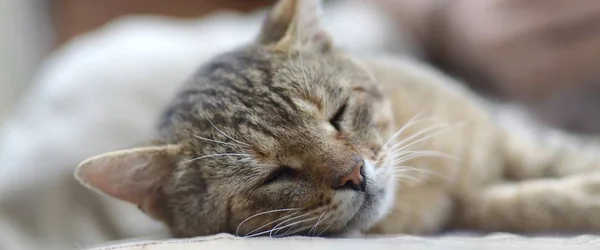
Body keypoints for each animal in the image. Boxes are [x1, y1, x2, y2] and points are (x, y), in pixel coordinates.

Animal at [76, 0, 600, 239]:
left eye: (338, 114)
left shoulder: (509, 134)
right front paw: (577, 196)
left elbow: (556, 158)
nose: (354, 175)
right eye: (275, 175)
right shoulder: (465, 205)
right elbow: (529, 203)